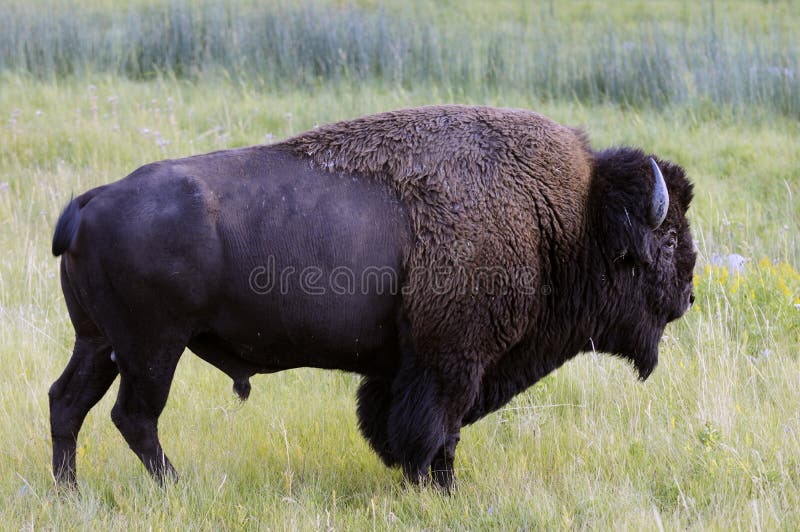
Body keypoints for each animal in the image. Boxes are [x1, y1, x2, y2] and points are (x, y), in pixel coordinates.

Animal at [50, 105, 696, 490]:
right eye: (666, 239)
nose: (688, 295)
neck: (565, 217)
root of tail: (89, 201)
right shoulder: (451, 362)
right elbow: (436, 429)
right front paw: (438, 488)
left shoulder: (409, 367)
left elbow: (407, 424)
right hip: (153, 349)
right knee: (133, 416)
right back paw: (175, 486)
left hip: (99, 343)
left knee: (68, 401)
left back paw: (70, 491)